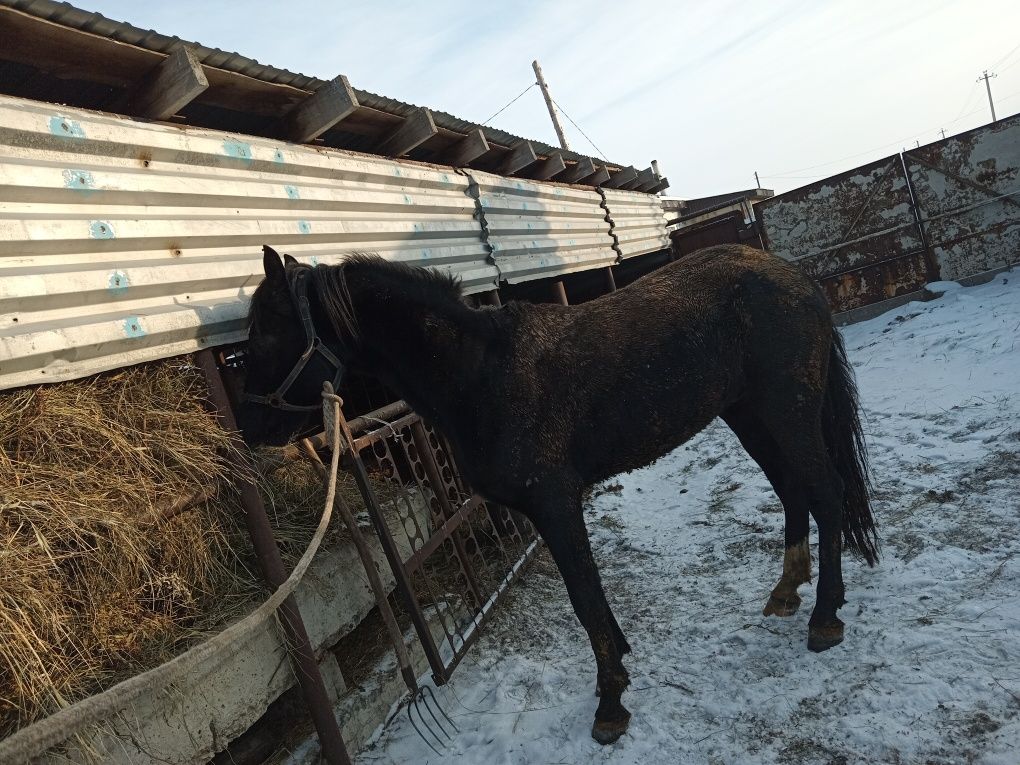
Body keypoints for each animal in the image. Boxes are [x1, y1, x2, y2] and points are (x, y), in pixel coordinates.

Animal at [238, 243, 877, 742]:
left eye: (265, 329)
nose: (247, 430)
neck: (481, 375)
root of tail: (794, 277)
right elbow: (589, 599)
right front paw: (618, 670)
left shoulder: (555, 503)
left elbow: (584, 598)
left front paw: (611, 704)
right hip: (749, 415)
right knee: (793, 492)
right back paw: (787, 591)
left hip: (786, 412)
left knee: (824, 492)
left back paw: (824, 617)